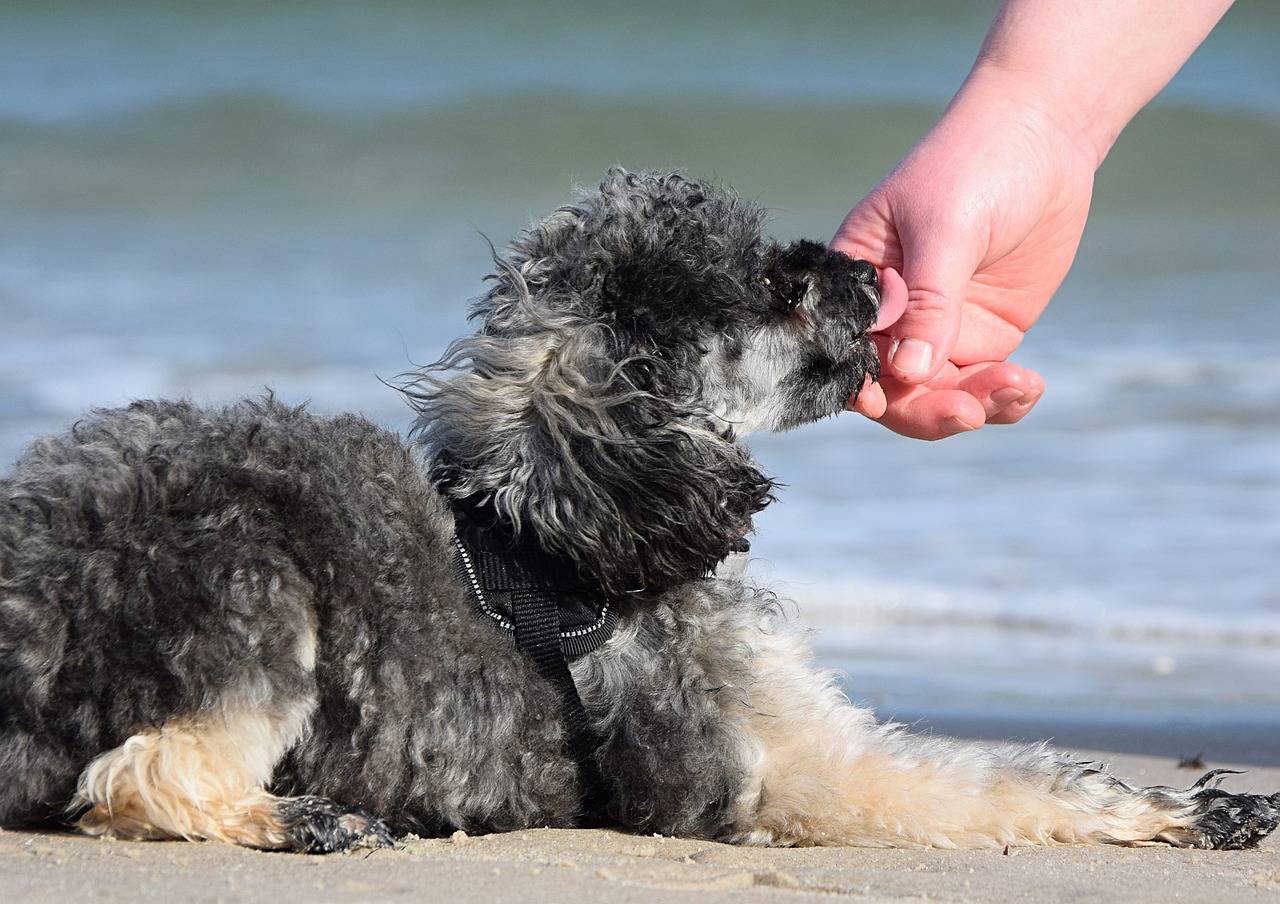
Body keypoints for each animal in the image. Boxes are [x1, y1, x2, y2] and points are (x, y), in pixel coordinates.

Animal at [2, 170, 1280, 850]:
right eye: (769, 282)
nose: (870, 271)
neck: (577, 528)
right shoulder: (776, 765)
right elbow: (979, 784)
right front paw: (1164, 809)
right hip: (249, 582)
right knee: (136, 775)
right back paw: (306, 819)